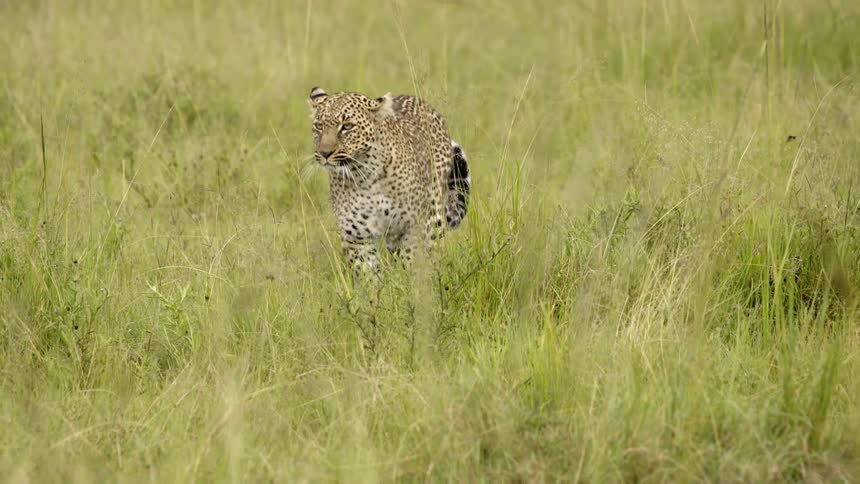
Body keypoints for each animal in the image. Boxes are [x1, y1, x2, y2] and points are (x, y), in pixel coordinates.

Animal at [307, 86, 471, 275]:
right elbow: (368, 273)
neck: (364, 176)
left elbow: (413, 261)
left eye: (347, 126)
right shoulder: (357, 237)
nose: (325, 153)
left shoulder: (415, 226)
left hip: (433, 217)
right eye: (319, 126)